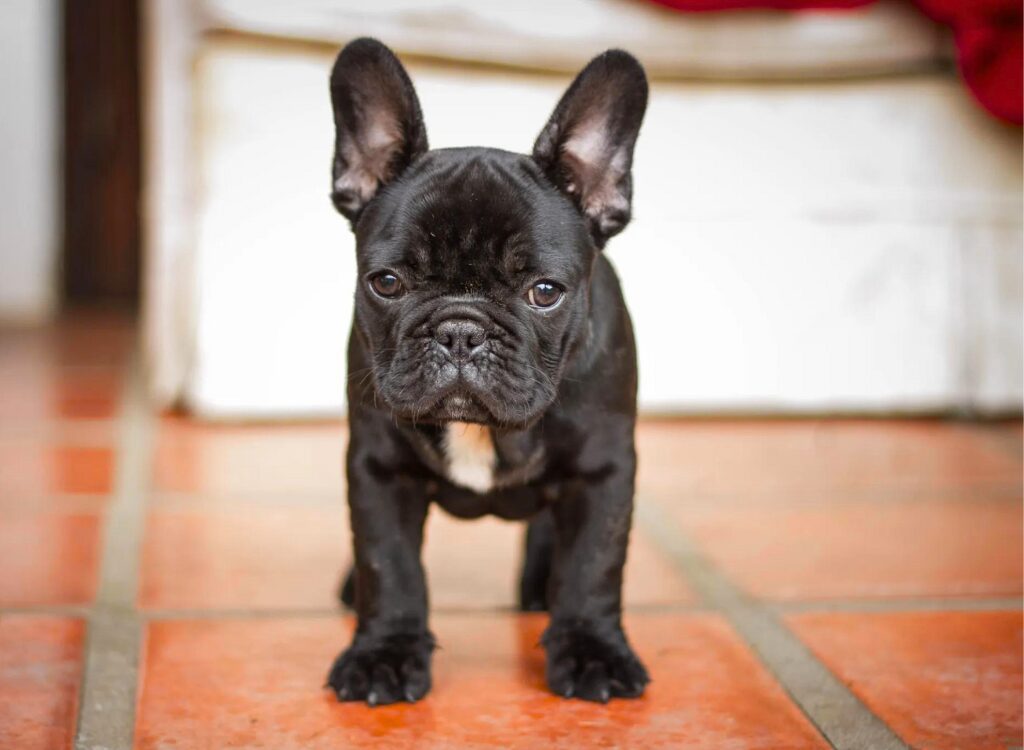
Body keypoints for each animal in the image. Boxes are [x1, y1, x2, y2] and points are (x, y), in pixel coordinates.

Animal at [327, 38, 647, 704]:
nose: (460, 330)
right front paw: (384, 654)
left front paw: (592, 650)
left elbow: (594, 566)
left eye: (545, 292)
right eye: (386, 283)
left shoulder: (603, 470)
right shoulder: (377, 468)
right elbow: (388, 564)